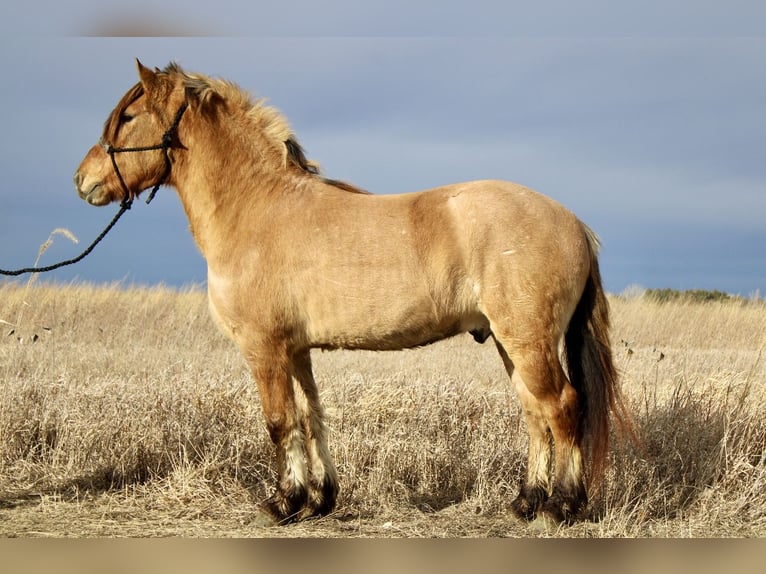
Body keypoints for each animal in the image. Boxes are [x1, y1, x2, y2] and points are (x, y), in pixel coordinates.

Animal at [75, 62, 632, 528]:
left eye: (128, 116)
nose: (83, 181)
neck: (258, 208)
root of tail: (572, 222)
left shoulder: (264, 349)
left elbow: (279, 421)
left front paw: (282, 504)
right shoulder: (296, 350)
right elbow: (311, 415)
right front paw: (318, 500)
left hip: (528, 342)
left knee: (563, 407)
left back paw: (560, 507)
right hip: (509, 343)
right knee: (535, 413)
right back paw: (525, 502)